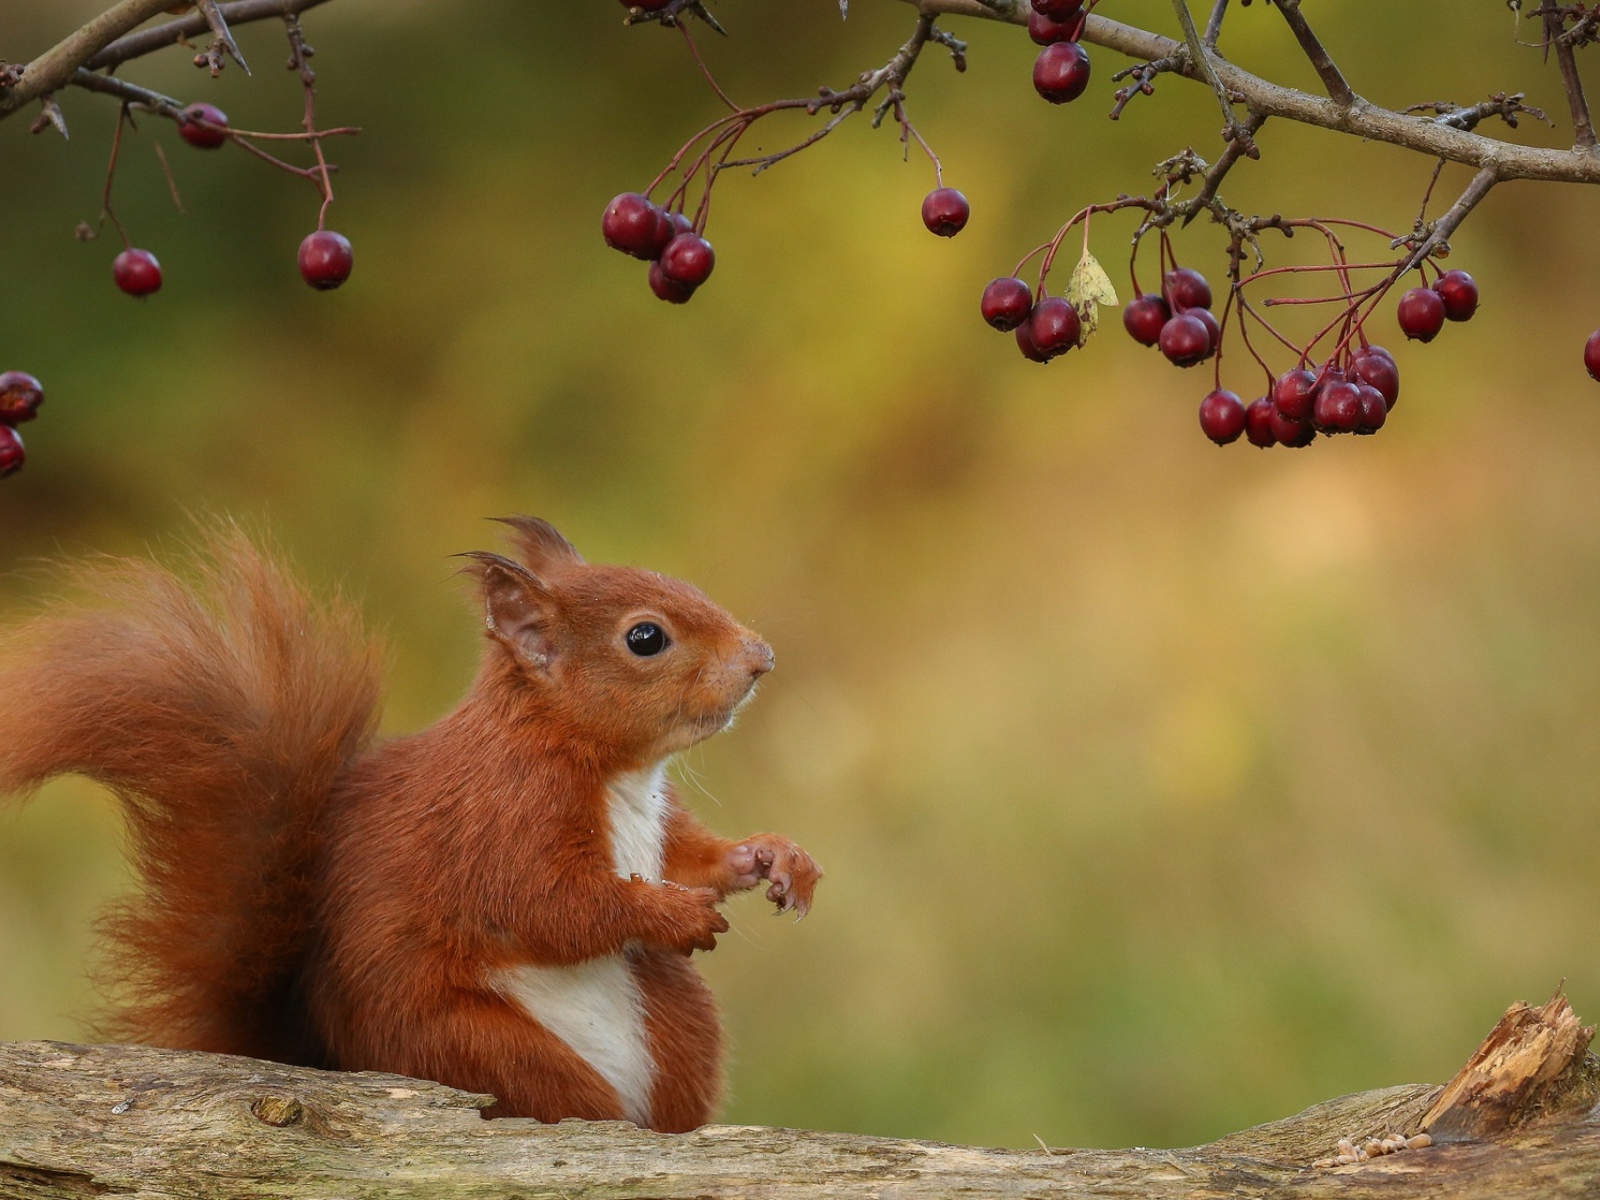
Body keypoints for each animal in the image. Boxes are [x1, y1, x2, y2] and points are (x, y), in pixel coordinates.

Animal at [0, 521, 819, 1132]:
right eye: (646, 639)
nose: (763, 659)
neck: (608, 770)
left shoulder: (657, 823)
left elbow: (690, 858)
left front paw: (773, 858)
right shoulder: (501, 818)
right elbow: (551, 905)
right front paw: (674, 914)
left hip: (674, 1021)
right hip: (473, 1046)